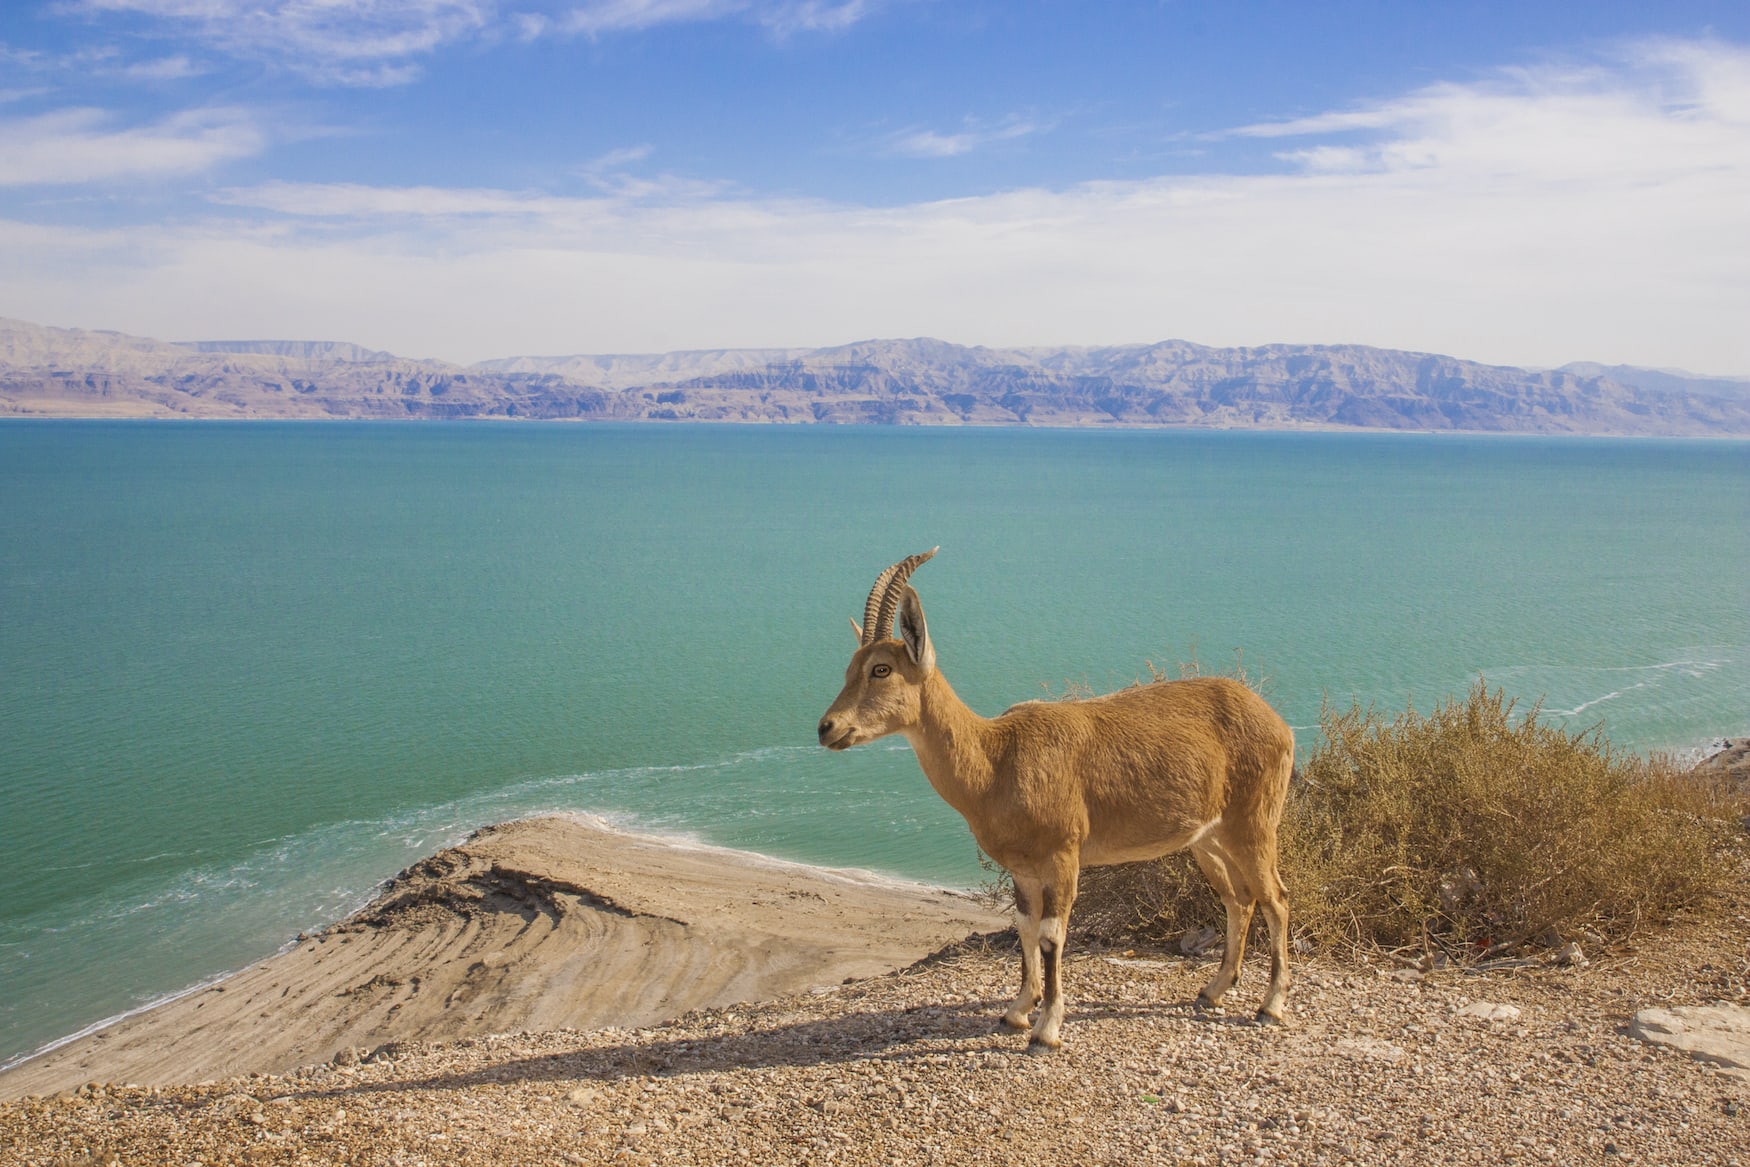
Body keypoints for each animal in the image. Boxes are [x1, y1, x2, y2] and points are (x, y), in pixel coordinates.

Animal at [817, 549, 1295, 1050]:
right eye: (850, 667)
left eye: (881, 669)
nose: (827, 728)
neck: (995, 761)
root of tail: (1277, 723)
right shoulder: (1024, 870)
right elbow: (1025, 930)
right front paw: (1016, 1012)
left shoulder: (1064, 855)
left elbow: (1051, 936)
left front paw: (1046, 1029)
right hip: (1208, 840)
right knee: (1239, 899)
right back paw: (1214, 989)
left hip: (1255, 824)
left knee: (1276, 898)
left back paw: (1271, 1006)